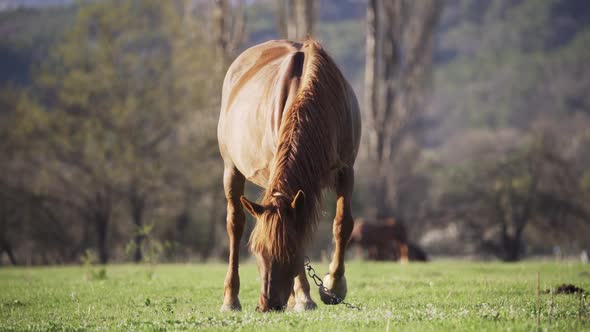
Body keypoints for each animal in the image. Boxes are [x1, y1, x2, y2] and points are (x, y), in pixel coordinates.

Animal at [220, 39, 364, 312]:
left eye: (290, 252)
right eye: (257, 252)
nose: (266, 305)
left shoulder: (346, 170)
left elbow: (342, 224)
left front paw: (333, 287)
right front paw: (304, 296)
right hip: (231, 169)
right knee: (235, 225)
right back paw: (231, 299)